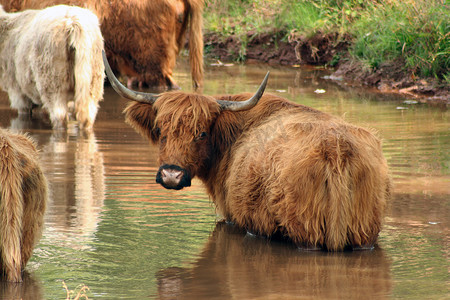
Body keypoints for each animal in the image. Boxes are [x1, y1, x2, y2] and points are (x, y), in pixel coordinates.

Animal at [103, 52, 392, 252]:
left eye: (202, 133)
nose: (171, 175)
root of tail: (336, 148)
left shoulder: (232, 217)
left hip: (306, 232)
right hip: (364, 234)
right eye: (160, 130)